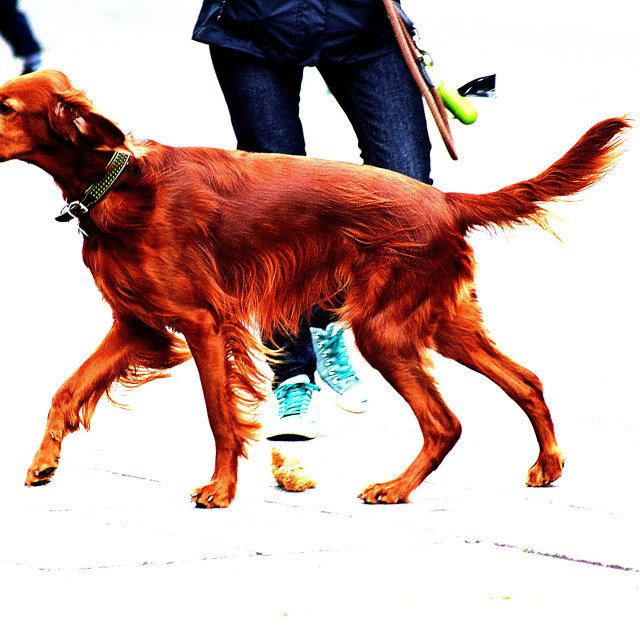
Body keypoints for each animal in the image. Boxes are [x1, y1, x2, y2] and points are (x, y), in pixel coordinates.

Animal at [0, 70, 632, 508]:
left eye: (5, 106)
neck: (118, 181)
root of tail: (446, 200)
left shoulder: (203, 322)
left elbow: (219, 414)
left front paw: (220, 490)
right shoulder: (137, 324)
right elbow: (65, 390)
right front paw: (43, 463)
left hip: (384, 330)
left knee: (445, 422)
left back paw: (394, 488)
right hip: (441, 323)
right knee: (526, 382)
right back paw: (547, 466)